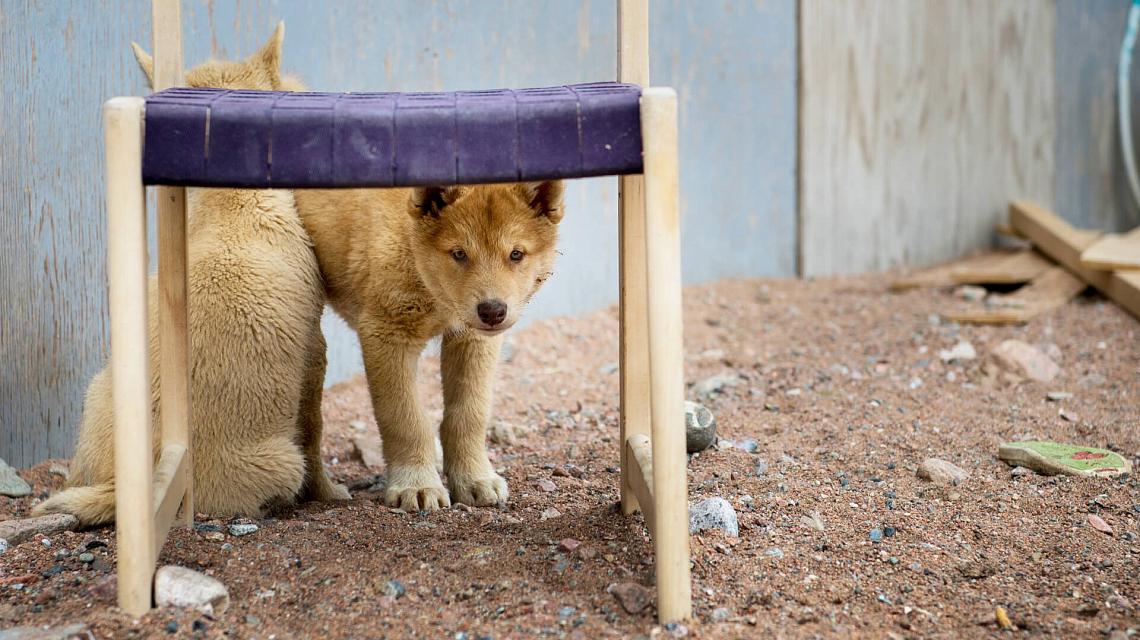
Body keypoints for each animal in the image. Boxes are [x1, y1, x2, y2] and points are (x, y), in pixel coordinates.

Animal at [34, 23, 346, 524]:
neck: (229, 198)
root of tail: (122, 489)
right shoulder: (315, 351)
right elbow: (315, 433)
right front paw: (330, 492)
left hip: (96, 393)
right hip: (281, 461)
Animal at [294, 180, 560, 508]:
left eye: (516, 254)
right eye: (459, 253)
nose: (492, 311)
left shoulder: (471, 339)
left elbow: (469, 412)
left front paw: (474, 478)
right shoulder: (386, 333)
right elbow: (404, 417)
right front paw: (416, 485)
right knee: (309, 427)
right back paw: (322, 492)